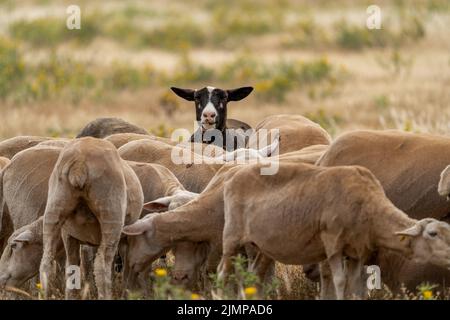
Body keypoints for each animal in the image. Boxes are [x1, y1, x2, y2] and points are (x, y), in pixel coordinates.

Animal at [40, 138, 143, 300]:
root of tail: (80, 162)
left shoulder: (68, 233)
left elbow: (72, 266)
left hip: (55, 206)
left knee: (48, 262)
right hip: (111, 214)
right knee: (101, 264)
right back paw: (106, 295)